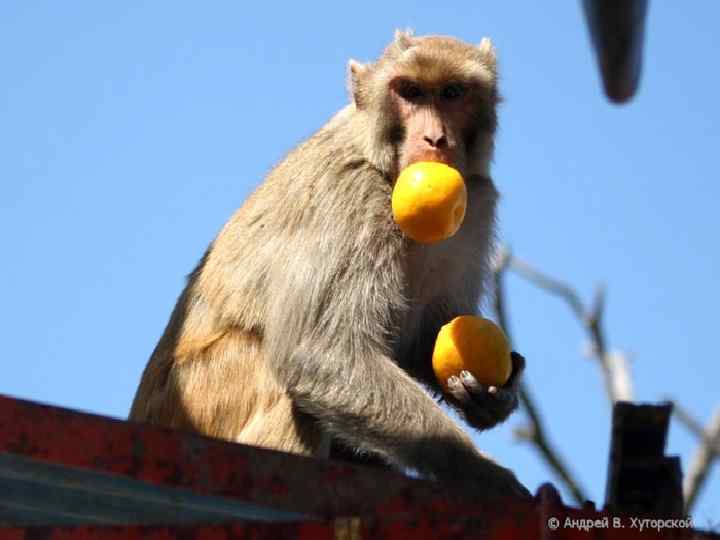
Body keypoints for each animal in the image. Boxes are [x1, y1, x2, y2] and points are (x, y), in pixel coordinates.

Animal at [131, 30, 528, 498]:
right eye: (410, 91)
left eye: (452, 93)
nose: (435, 139)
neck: (386, 169)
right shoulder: (352, 198)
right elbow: (319, 352)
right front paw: (478, 471)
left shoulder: (477, 202)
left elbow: (429, 335)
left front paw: (489, 395)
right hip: (206, 398)